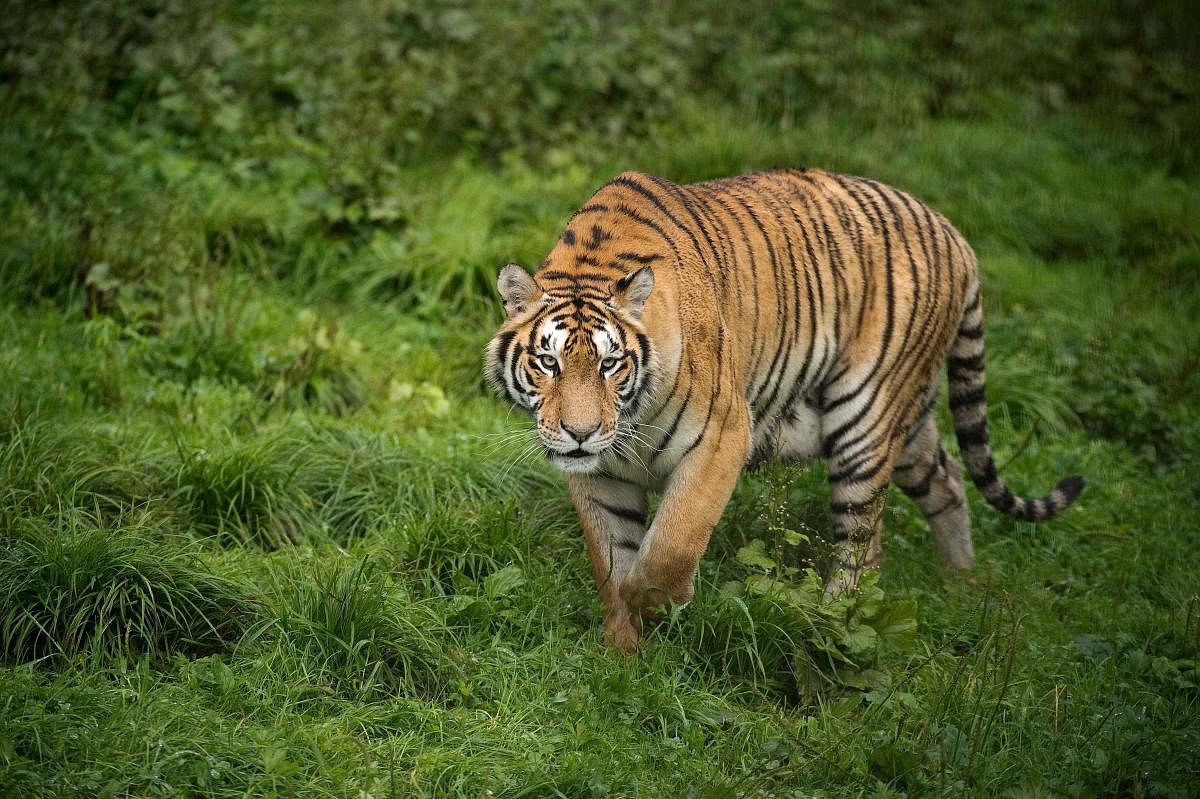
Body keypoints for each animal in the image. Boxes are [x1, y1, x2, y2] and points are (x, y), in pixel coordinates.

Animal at [482, 169, 1084, 652]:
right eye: (548, 362)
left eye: (610, 365)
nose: (580, 434)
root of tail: (953, 232)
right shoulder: (599, 475)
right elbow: (610, 558)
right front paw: (623, 652)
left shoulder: (722, 436)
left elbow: (672, 544)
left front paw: (652, 604)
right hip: (910, 425)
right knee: (951, 480)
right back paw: (960, 581)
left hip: (865, 418)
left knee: (862, 549)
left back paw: (829, 623)